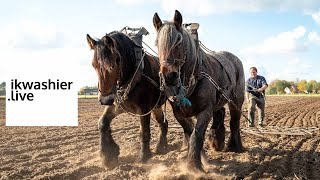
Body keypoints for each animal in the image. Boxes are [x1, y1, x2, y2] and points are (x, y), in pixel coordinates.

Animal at [86, 30, 188, 169]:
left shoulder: (143, 109)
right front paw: (108, 156)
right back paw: (161, 147)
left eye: (112, 65)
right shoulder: (116, 106)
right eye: (94, 65)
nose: (104, 100)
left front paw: (143, 157)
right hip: (156, 106)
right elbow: (102, 123)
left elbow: (144, 132)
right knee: (163, 123)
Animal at [152, 10, 245, 172]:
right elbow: (191, 134)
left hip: (236, 100)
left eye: (179, 41)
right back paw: (217, 140)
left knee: (234, 121)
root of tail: (235, 58)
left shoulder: (205, 111)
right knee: (220, 113)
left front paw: (193, 167)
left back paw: (234, 146)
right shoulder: (179, 114)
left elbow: (196, 135)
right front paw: (202, 159)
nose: (169, 77)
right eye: (157, 42)